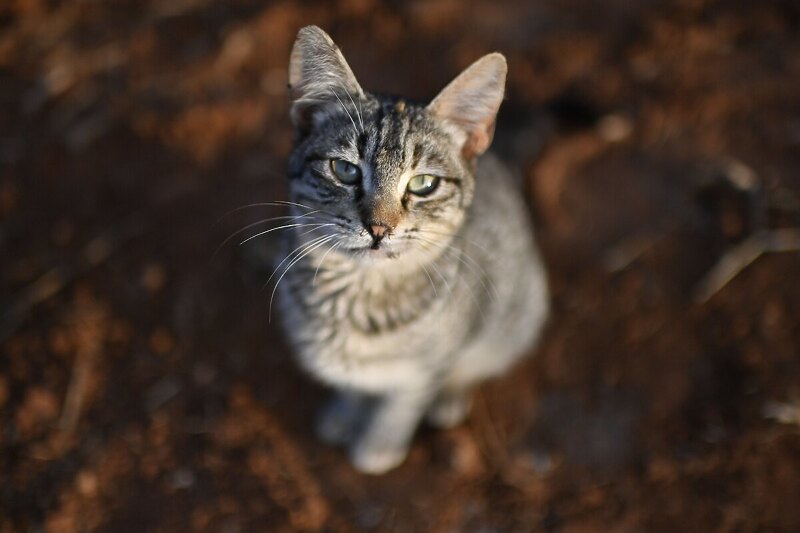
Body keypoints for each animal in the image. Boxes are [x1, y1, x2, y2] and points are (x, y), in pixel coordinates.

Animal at [276, 26, 552, 474]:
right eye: (345, 170)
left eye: (423, 184)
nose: (379, 227)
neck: (361, 296)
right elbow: (352, 383)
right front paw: (346, 410)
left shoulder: (431, 359)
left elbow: (405, 398)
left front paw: (380, 443)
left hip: (518, 309)